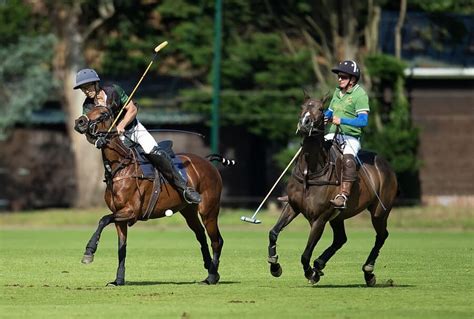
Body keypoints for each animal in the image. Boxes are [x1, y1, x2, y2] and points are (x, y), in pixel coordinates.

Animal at [73, 106, 232, 286]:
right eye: (89, 108)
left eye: (103, 114)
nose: (79, 122)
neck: (120, 168)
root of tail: (208, 162)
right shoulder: (120, 218)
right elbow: (122, 248)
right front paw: (118, 280)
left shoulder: (131, 212)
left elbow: (103, 219)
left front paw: (89, 251)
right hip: (188, 211)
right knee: (201, 235)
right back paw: (210, 269)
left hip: (209, 210)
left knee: (217, 240)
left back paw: (212, 276)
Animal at [268, 95, 398, 288]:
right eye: (302, 106)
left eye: (321, 109)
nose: (305, 123)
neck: (311, 171)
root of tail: (386, 164)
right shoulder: (293, 206)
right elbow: (273, 232)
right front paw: (274, 265)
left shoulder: (319, 218)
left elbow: (305, 254)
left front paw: (310, 273)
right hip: (338, 216)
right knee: (341, 239)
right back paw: (320, 264)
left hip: (379, 212)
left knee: (382, 235)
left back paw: (368, 271)